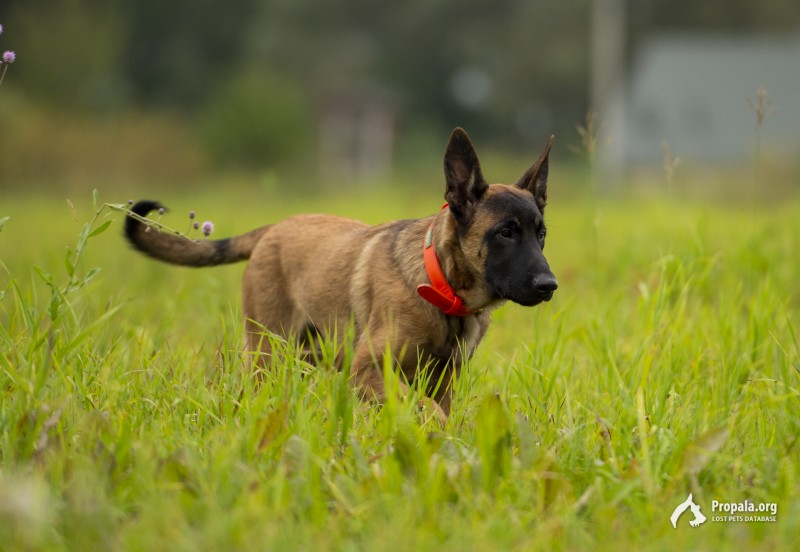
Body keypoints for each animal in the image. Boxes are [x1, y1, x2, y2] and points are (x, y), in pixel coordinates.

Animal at [125, 128, 556, 418]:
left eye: (541, 235)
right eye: (505, 233)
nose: (548, 286)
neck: (441, 285)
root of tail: (273, 228)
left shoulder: (441, 381)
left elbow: (437, 412)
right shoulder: (367, 369)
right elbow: (424, 410)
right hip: (268, 353)